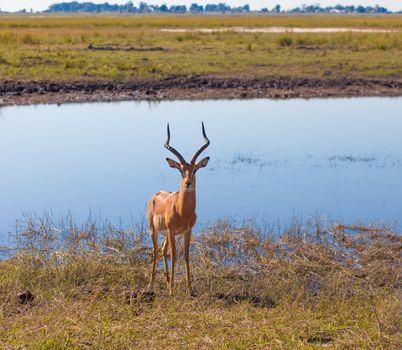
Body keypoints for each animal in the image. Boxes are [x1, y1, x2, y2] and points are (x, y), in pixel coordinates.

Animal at [148, 123, 210, 296]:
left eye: (195, 169)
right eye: (180, 170)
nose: (188, 183)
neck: (183, 212)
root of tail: (156, 195)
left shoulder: (187, 231)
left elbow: (186, 255)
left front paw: (189, 288)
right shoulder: (171, 230)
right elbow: (175, 255)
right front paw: (171, 291)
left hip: (167, 235)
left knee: (163, 250)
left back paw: (168, 281)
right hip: (154, 230)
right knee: (156, 251)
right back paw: (151, 285)